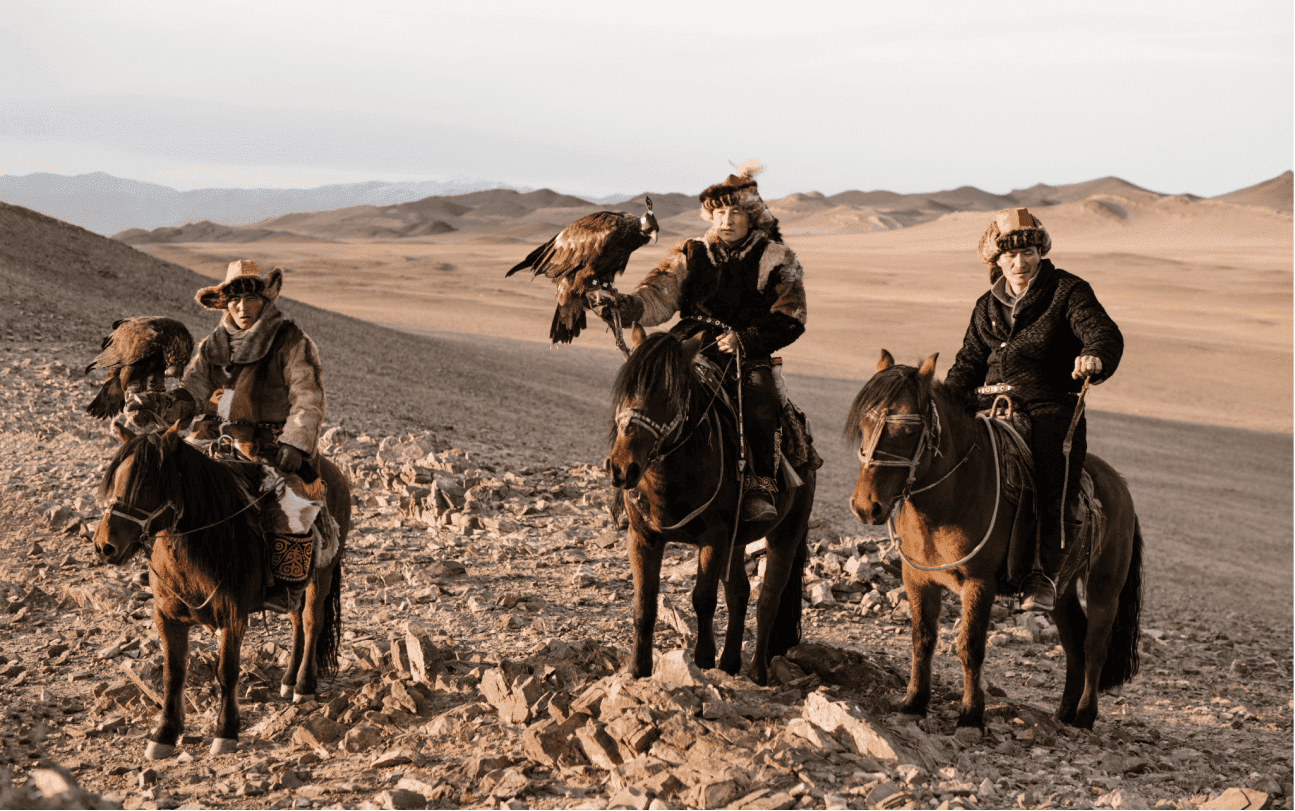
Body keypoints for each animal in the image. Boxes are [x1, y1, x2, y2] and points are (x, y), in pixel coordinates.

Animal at [91, 422, 352, 756]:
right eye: (116, 479)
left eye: (149, 481)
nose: (105, 545)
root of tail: (335, 473)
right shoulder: (167, 617)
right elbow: (173, 673)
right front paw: (164, 734)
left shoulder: (233, 616)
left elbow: (227, 671)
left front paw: (226, 731)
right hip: (297, 586)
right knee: (297, 623)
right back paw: (289, 680)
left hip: (322, 575)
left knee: (311, 622)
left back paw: (304, 685)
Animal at [600, 322, 813, 684]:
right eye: (627, 388)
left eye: (667, 395)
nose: (622, 468)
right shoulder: (643, 537)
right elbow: (644, 603)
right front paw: (638, 668)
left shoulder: (713, 538)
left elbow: (703, 598)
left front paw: (702, 659)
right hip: (738, 541)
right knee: (740, 592)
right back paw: (729, 663)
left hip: (786, 534)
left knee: (768, 600)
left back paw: (757, 671)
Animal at [844, 349, 1139, 730]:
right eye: (863, 426)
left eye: (909, 430)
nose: (866, 507)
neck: (949, 499)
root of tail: (1121, 487)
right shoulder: (918, 579)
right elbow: (922, 639)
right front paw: (913, 702)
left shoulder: (979, 583)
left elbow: (970, 646)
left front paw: (971, 713)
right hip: (1061, 589)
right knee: (1074, 643)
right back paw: (1063, 713)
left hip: (1105, 587)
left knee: (1094, 646)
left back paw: (1085, 717)